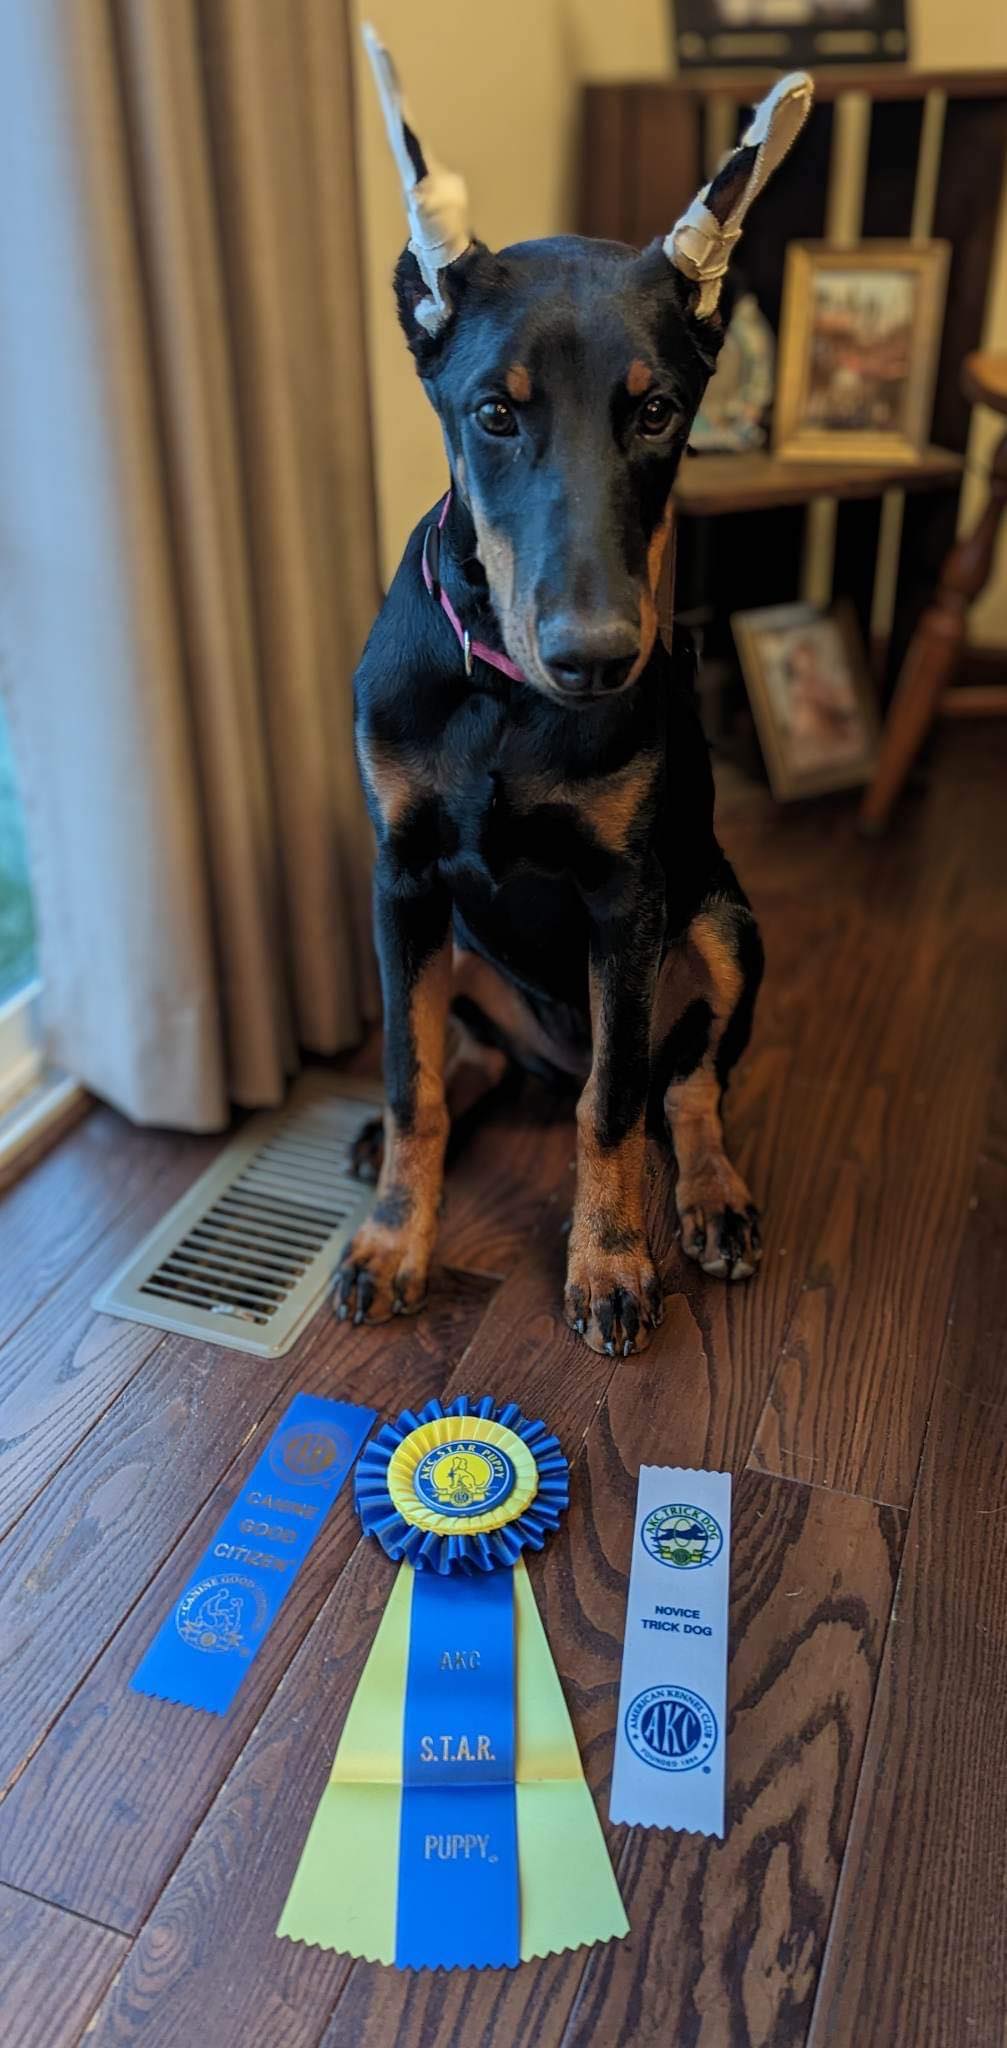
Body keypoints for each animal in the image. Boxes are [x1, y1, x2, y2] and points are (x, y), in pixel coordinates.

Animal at [335, 36, 810, 1359]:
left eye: (655, 411)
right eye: (493, 412)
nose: (593, 658)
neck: (499, 697)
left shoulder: (625, 897)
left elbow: (615, 1103)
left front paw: (606, 1265)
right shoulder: (399, 878)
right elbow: (410, 1076)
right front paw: (392, 1242)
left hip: (719, 922)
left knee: (679, 1078)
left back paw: (707, 1199)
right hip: (458, 945)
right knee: (470, 1057)